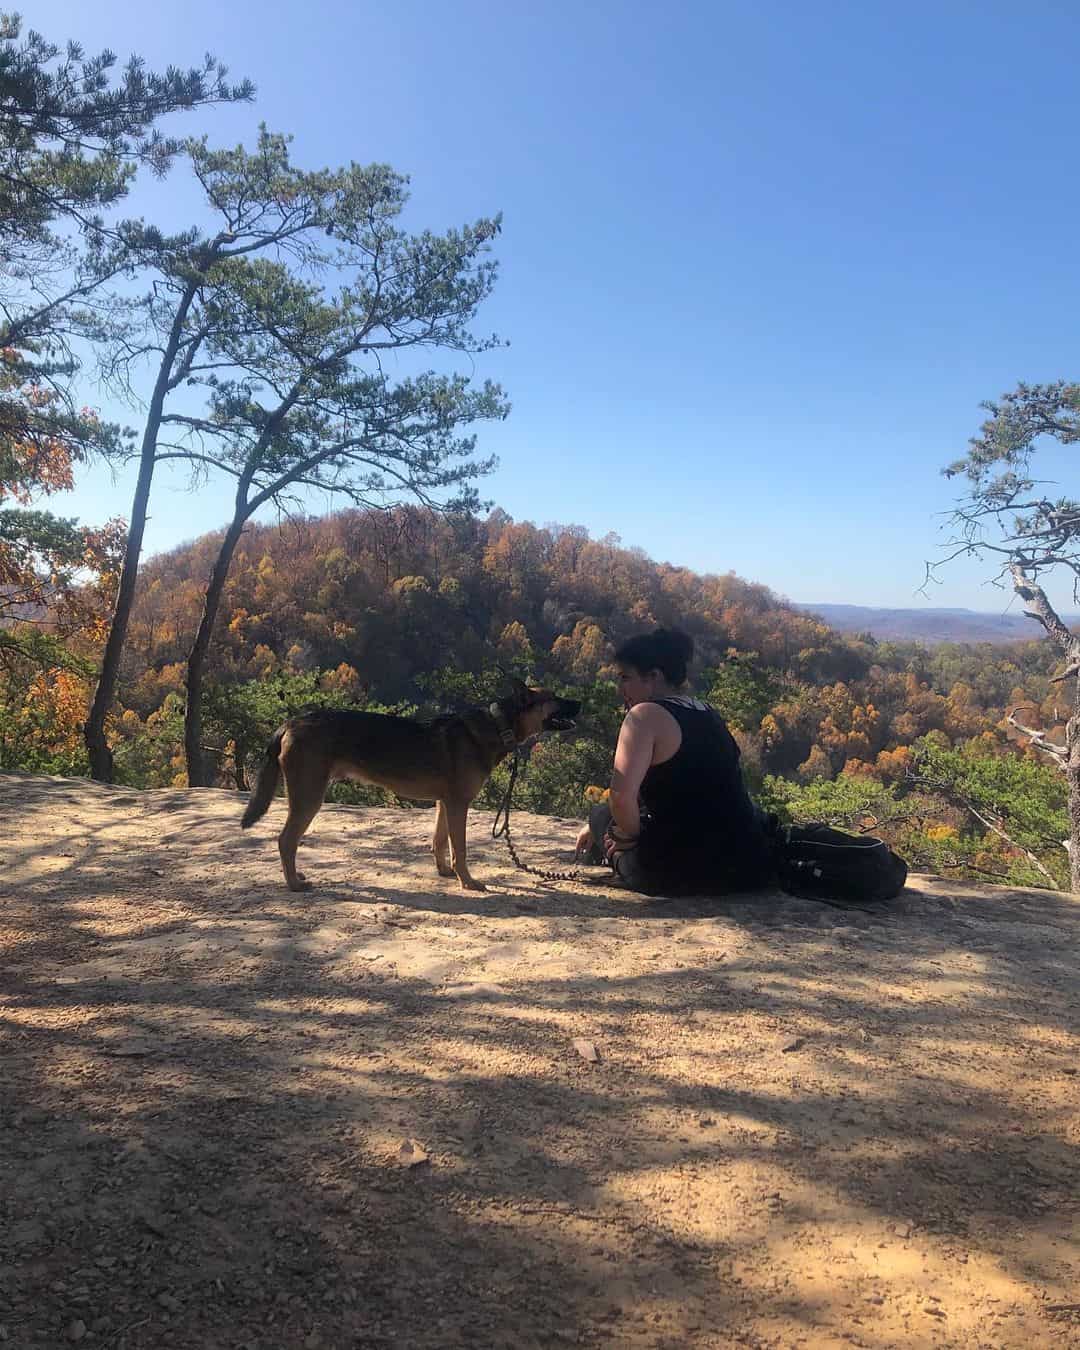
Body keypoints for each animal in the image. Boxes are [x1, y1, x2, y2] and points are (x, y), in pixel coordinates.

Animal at [238, 680, 577, 891]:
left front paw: (444, 872)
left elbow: (439, 841)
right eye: (554, 697)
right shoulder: (459, 804)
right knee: (285, 841)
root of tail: (290, 723)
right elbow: (460, 849)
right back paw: (294, 884)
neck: (498, 725)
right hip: (309, 797)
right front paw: (467, 882)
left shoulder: (444, 804)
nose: (581, 703)